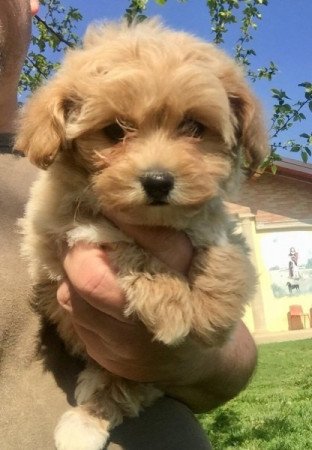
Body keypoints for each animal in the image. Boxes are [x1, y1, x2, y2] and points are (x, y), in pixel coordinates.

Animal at [15, 18, 266, 450]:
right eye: (115, 131)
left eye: (194, 127)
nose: (158, 181)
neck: (156, 221)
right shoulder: (62, 227)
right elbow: (126, 243)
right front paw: (173, 306)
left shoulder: (216, 218)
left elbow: (222, 246)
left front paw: (214, 312)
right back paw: (83, 424)